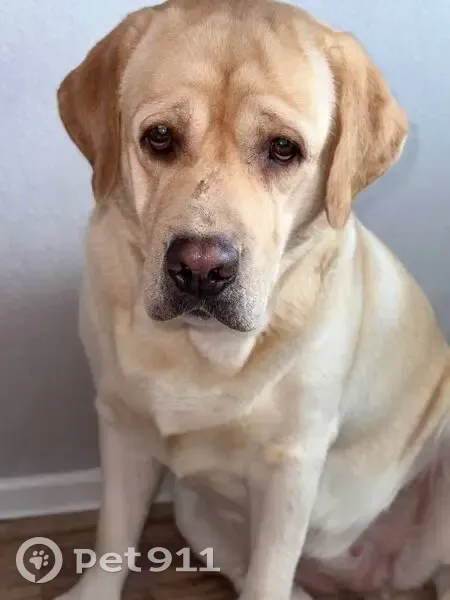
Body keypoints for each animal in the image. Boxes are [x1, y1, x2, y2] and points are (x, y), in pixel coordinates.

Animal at [55, 1, 450, 599]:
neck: (199, 352)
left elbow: (268, 577)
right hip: (193, 513)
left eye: (283, 148)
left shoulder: (290, 468)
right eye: (160, 137)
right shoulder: (121, 427)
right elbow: (111, 541)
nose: (200, 268)